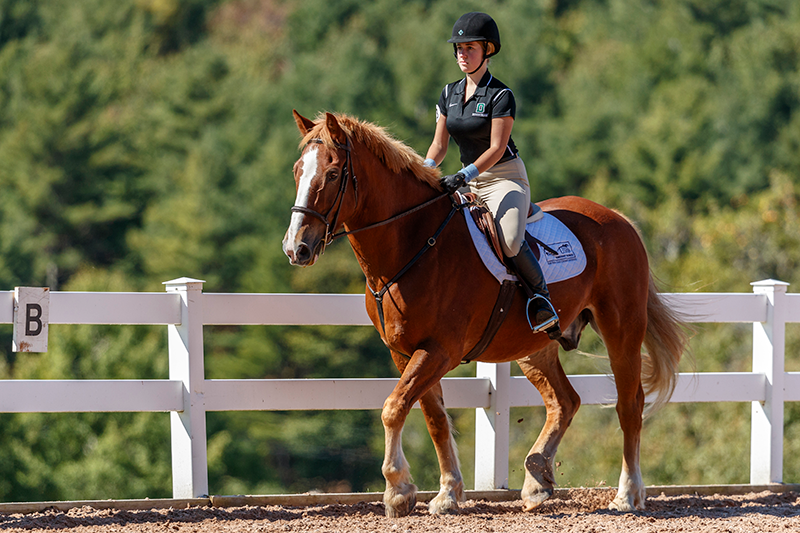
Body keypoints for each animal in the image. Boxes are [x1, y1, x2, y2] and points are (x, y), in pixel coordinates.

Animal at [282, 111, 688, 516]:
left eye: (333, 173)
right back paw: (537, 481)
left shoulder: (439, 350)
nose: (295, 248)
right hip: (534, 344)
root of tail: (616, 218)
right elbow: (433, 417)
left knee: (629, 405)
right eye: (298, 170)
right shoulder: (404, 351)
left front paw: (398, 490)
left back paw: (628, 494)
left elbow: (394, 407)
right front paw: (446, 492)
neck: (413, 244)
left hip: (621, 329)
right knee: (564, 401)